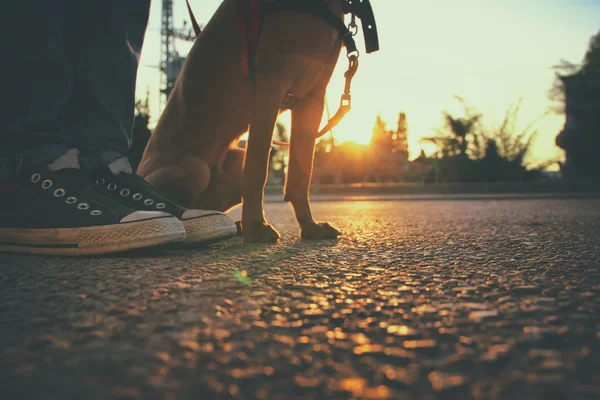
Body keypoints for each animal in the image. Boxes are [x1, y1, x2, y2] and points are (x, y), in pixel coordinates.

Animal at [138, 0, 378, 242]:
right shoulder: (270, 88)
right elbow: (257, 170)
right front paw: (256, 226)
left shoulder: (312, 97)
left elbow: (301, 174)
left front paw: (310, 226)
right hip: (194, 168)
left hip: (235, 158)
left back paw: (234, 225)